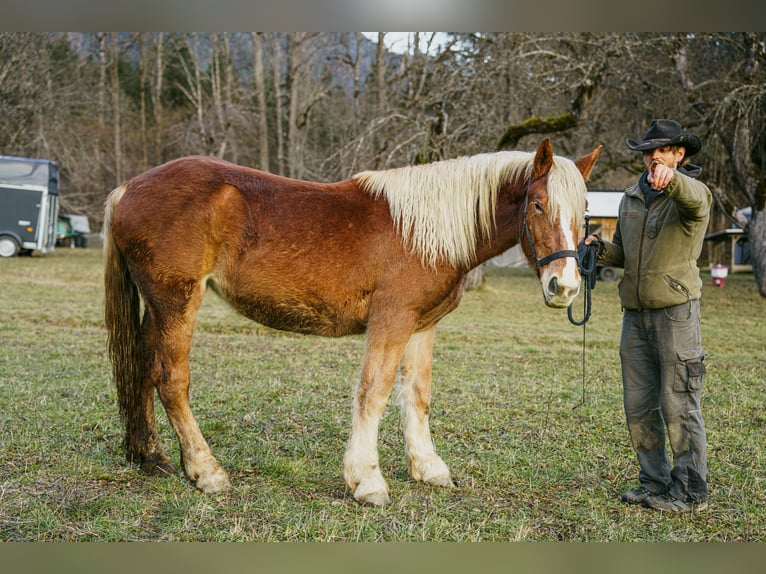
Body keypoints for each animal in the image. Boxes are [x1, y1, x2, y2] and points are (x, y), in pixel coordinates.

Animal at [103, 137, 600, 506]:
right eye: (537, 205)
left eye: (584, 212)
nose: (564, 286)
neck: (424, 231)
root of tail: (127, 188)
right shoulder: (392, 321)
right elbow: (373, 392)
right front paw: (367, 482)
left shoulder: (422, 326)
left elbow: (416, 394)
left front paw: (428, 468)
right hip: (178, 302)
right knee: (171, 379)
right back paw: (206, 472)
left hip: (158, 309)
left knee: (143, 370)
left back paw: (150, 457)